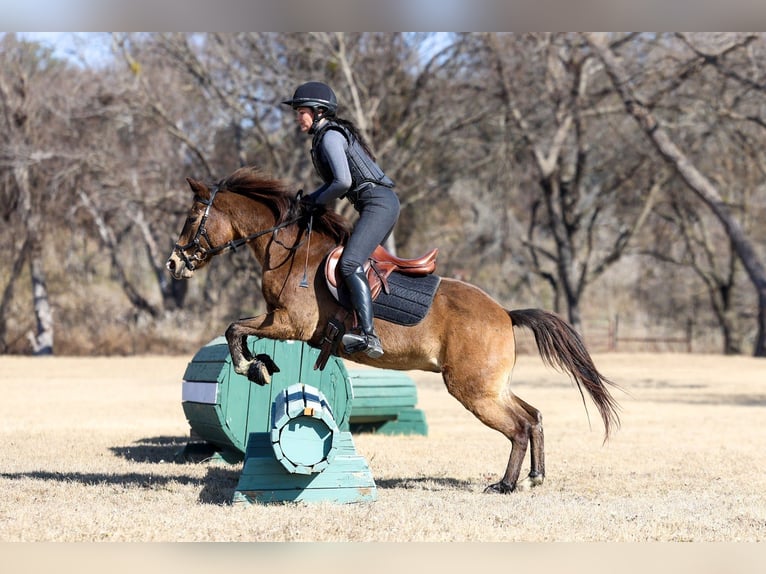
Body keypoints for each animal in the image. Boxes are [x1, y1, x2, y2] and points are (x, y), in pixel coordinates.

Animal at [166, 166, 621, 493]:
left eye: (190, 218)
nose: (173, 263)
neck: (291, 251)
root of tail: (505, 313)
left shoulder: (289, 323)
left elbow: (234, 329)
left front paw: (253, 368)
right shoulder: (278, 320)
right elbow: (238, 330)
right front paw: (260, 365)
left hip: (472, 389)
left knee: (519, 427)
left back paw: (506, 484)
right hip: (491, 386)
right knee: (534, 416)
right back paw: (535, 477)